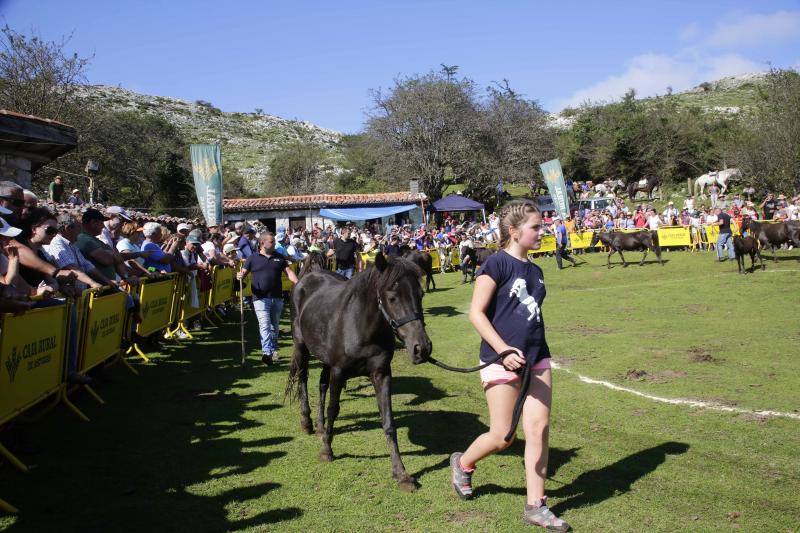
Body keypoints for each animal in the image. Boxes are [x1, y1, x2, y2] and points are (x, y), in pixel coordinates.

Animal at [284, 254, 432, 490]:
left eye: (421, 294)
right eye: (392, 298)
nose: (422, 348)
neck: (361, 326)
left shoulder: (382, 374)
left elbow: (388, 421)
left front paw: (401, 473)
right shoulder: (338, 371)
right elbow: (333, 410)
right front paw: (327, 450)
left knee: (321, 384)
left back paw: (319, 427)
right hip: (301, 347)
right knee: (303, 378)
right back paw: (306, 422)